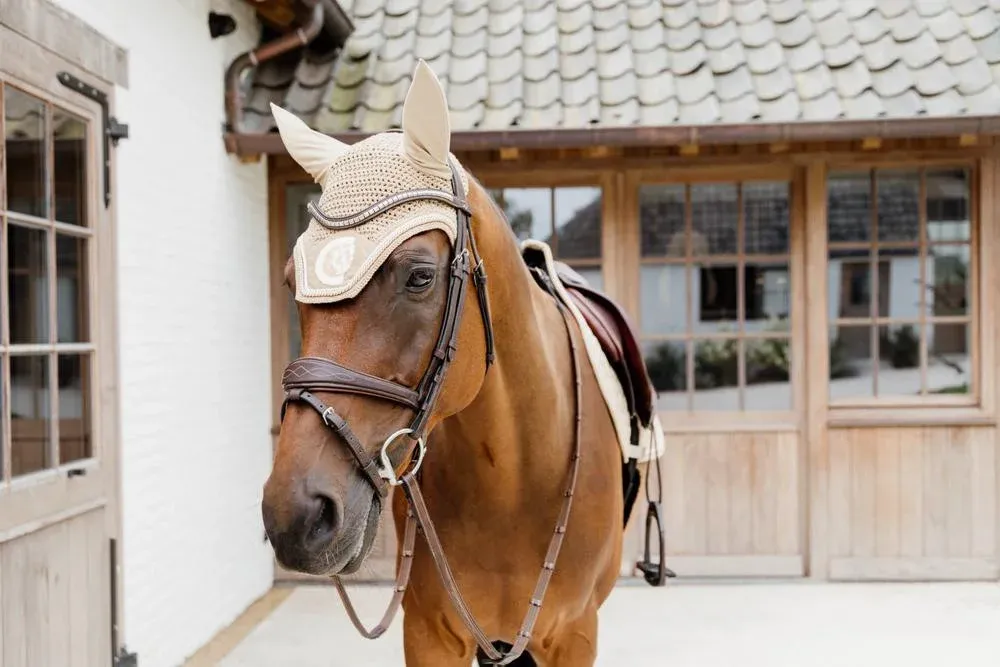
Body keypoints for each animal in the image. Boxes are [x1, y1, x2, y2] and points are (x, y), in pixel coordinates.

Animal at [260, 60, 670, 666]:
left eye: (420, 276)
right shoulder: (429, 633)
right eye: (291, 280)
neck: (513, 480)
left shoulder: (573, 636)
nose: (297, 515)